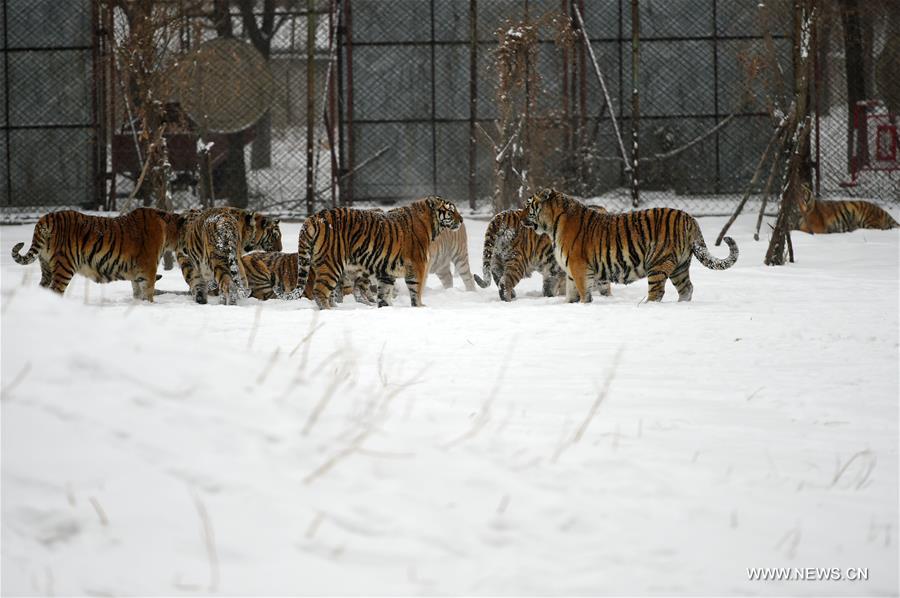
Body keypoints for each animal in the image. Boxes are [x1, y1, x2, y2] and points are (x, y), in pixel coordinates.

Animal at [10, 207, 185, 300]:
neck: (168, 230)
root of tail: (46, 218)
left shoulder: (137, 274)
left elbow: (137, 292)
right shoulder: (148, 270)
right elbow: (148, 292)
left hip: (46, 267)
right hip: (64, 266)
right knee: (55, 290)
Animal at [298, 197, 464, 310]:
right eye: (451, 211)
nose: (462, 220)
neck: (431, 225)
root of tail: (314, 217)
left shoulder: (387, 270)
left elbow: (384, 293)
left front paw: (386, 307)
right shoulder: (418, 265)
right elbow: (416, 289)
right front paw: (419, 306)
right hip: (332, 263)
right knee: (319, 291)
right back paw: (329, 311)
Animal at [472, 206, 612, 302]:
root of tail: (502, 216)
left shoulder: (552, 272)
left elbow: (549, 287)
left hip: (496, 259)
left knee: (498, 277)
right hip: (517, 262)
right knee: (505, 282)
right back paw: (508, 299)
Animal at [520, 191, 740, 304]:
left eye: (528, 205)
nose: (521, 218)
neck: (552, 225)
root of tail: (689, 218)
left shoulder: (579, 267)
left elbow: (583, 293)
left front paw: (584, 305)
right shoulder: (572, 271)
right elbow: (571, 293)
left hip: (659, 263)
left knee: (657, 292)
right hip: (680, 266)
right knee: (687, 288)